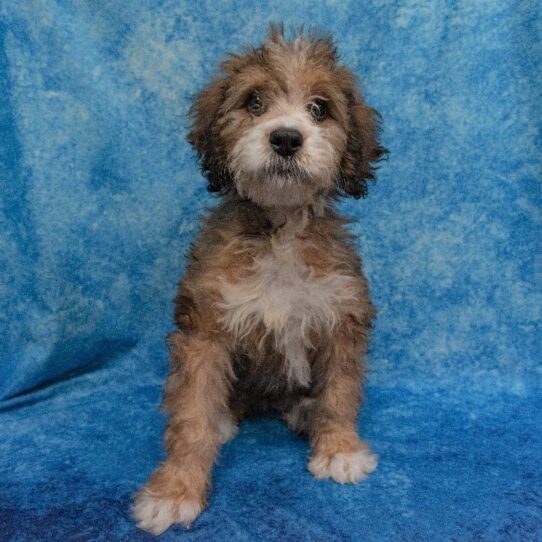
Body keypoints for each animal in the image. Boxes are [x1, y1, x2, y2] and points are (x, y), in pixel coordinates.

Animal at [134, 25, 388, 536]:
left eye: (319, 108)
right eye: (254, 102)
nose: (286, 139)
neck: (280, 230)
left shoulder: (341, 316)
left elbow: (340, 390)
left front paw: (340, 449)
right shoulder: (205, 327)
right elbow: (190, 414)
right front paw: (175, 491)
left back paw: (306, 411)